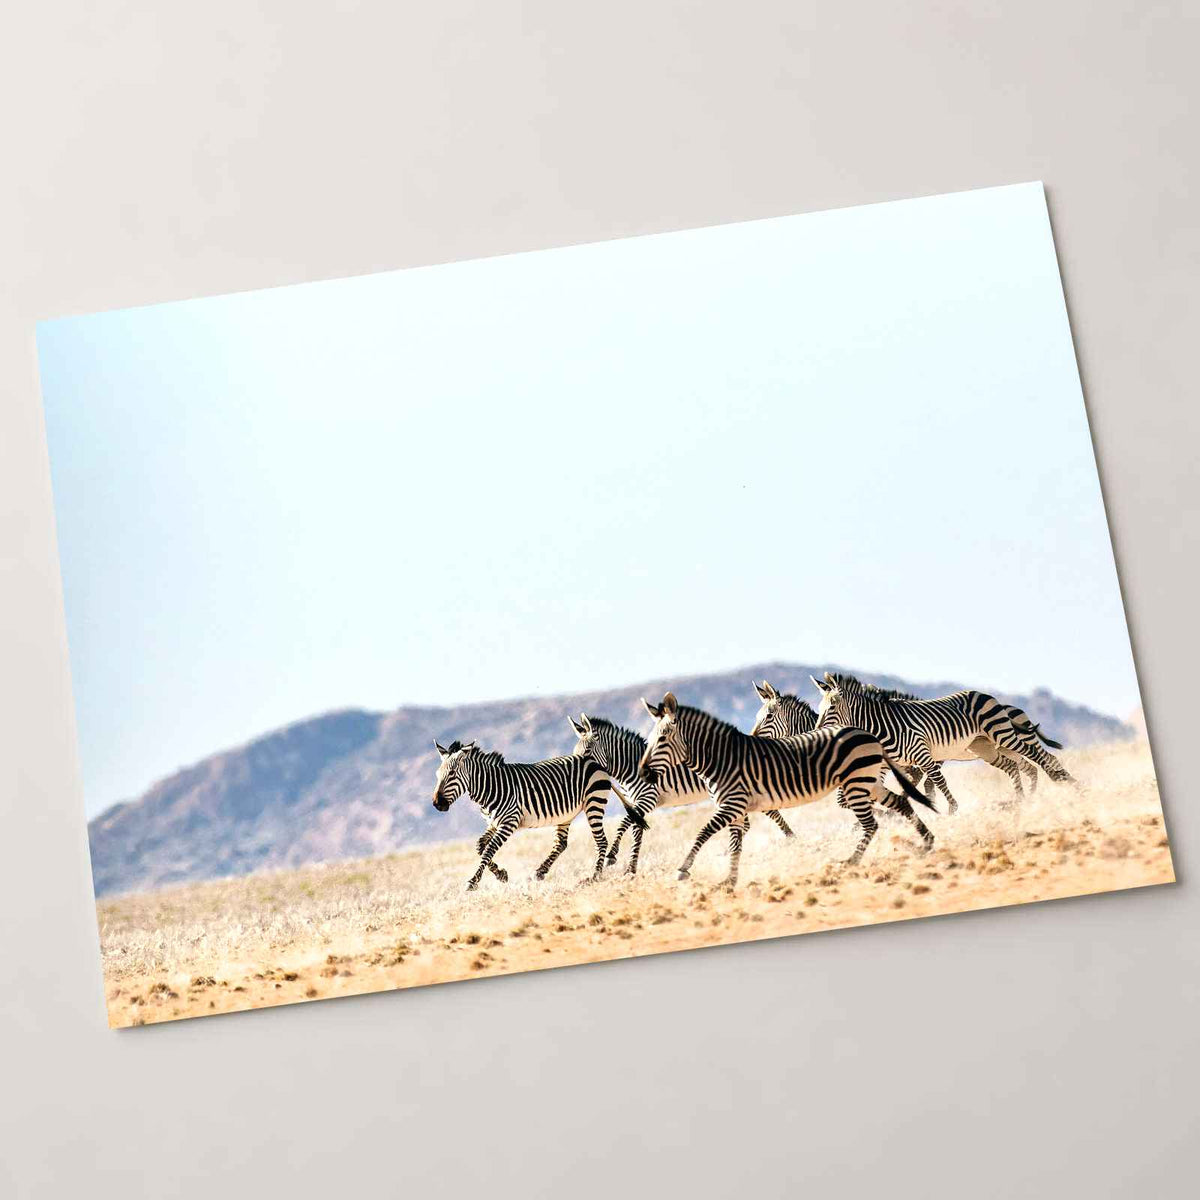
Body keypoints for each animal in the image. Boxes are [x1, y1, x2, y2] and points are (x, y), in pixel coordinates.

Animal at [432, 739, 639, 890]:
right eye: (437, 775)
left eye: (452, 774)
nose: (437, 804)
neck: (491, 787)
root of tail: (595, 763)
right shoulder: (493, 823)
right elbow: (480, 846)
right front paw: (501, 874)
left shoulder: (509, 821)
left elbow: (489, 849)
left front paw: (473, 881)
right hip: (566, 815)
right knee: (561, 844)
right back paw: (540, 872)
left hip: (593, 802)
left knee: (601, 841)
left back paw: (595, 876)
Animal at [568, 712, 794, 876]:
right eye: (574, 752)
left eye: (586, 752)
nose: (578, 774)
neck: (629, 766)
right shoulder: (637, 803)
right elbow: (637, 831)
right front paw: (631, 869)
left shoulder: (648, 798)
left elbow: (624, 823)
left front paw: (612, 855)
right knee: (746, 823)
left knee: (767, 813)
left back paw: (790, 838)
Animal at [637, 692, 936, 889]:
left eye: (662, 738)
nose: (643, 773)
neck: (720, 759)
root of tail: (867, 733)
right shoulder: (736, 810)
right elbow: (735, 845)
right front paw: (729, 881)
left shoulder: (732, 805)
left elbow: (703, 832)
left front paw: (683, 870)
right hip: (868, 781)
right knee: (900, 803)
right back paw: (927, 842)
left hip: (856, 783)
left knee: (871, 824)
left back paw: (851, 861)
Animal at [811, 672, 1075, 813]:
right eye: (820, 708)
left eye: (831, 708)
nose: (816, 731)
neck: (884, 726)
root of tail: (988, 695)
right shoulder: (893, 763)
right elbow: (915, 786)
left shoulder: (923, 755)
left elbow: (935, 782)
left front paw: (951, 809)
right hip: (986, 747)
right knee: (1018, 766)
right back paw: (1022, 799)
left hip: (1004, 736)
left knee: (1039, 756)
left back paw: (1066, 782)